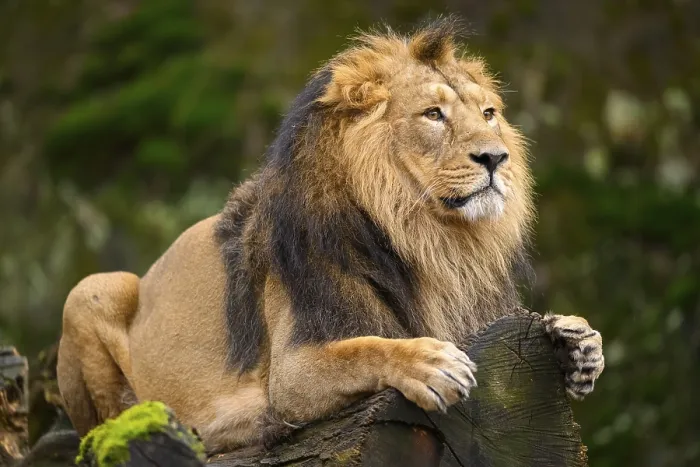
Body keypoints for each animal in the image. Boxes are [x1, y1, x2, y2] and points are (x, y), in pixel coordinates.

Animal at [56, 19, 604, 452]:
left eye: (488, 113)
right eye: (433, 114)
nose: (496, 157)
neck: (433, 239)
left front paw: (576, 339)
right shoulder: (293, 370)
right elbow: (366, 349)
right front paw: (431, 362)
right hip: (93, 289)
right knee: (102, 428)